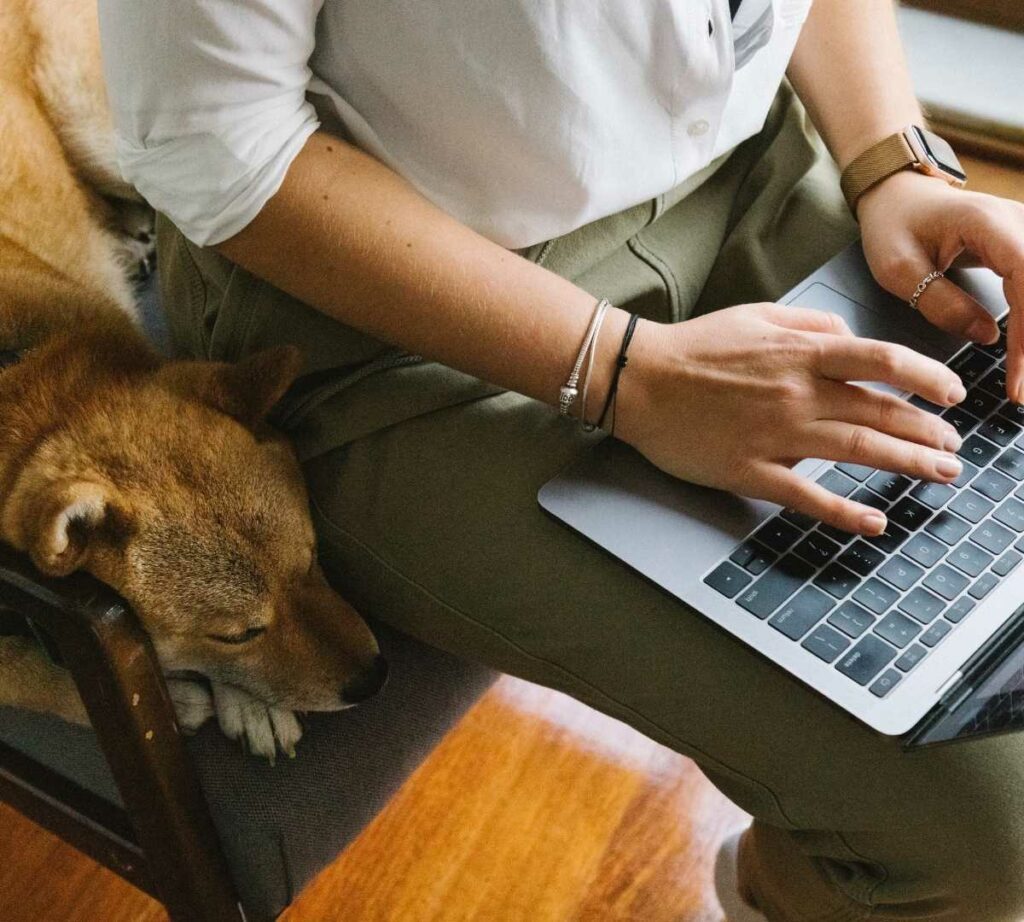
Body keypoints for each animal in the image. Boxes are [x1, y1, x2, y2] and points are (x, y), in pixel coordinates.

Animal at [0, 0, 387, 758]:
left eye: (312, 559)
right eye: (237, 634)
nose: (374, 678)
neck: (14, 368)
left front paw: (245, 703)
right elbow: (17, 678)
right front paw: (174, 700)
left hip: (122, 143)